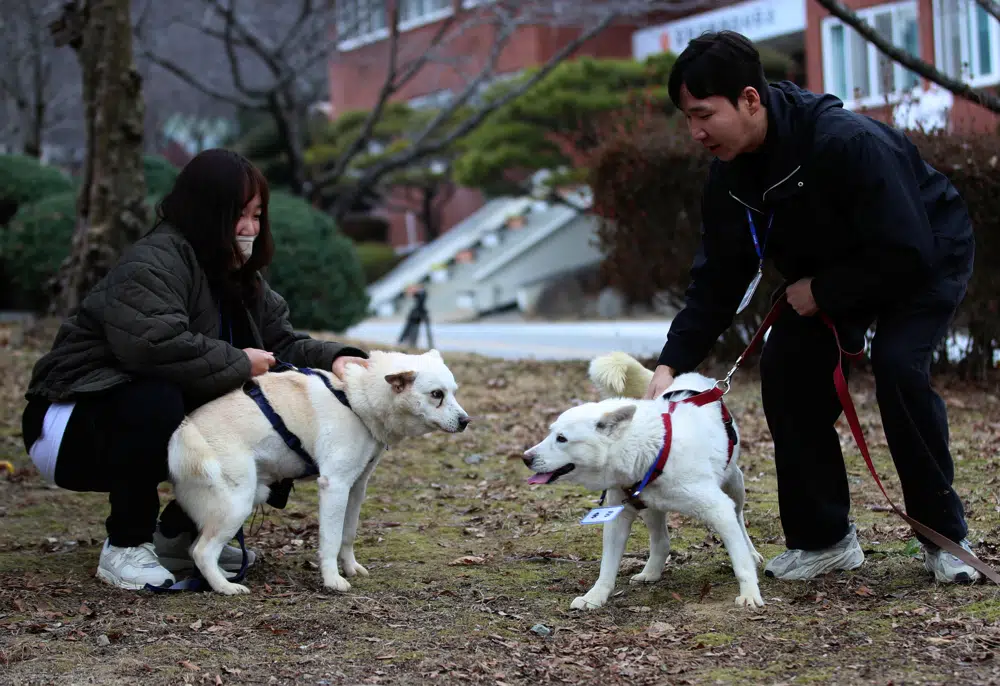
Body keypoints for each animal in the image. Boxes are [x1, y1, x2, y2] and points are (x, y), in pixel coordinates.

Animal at [167, 350, 468, 596]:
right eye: (436, 394)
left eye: (453, 392)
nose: (466, 421)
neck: (355, 399)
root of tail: (184, 431)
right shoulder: (334, 486)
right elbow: (331, 539)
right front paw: (332, 580)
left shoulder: (356, 487)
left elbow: (348, 534)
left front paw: (350, 567)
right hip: (237, 503)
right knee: (202, 551)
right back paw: (225, 587)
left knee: (196, 547)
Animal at [524, 354, 764, 612]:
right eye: (551, 433)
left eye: (561, 439)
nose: (525, 458)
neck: (652, 451)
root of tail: (693, 378)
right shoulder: (618, 518)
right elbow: (607, 568)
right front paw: (594, 597)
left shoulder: (719, 510)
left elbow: (740, 562)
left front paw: (749, 593)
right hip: (650, 508)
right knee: (662, 542)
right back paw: (651, 572)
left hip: (734, 487)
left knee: (740, 520)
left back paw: (752, 552)